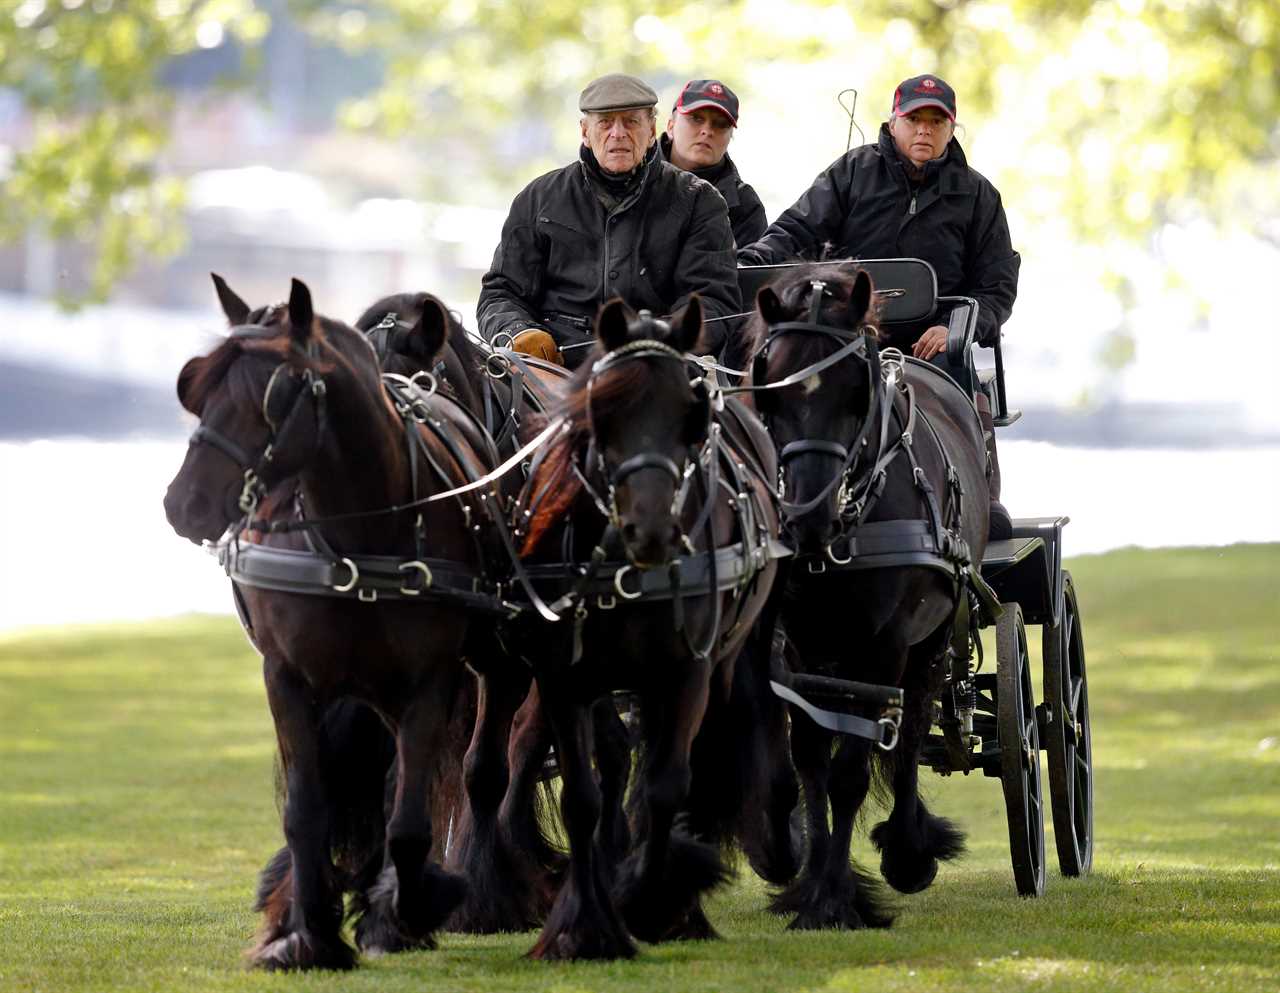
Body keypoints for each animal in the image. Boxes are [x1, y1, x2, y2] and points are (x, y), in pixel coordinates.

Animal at [160, 278, 499, 967]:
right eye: (197, 387)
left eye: (273, 395)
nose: (184, 505)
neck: (357, 536)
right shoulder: (288, 678)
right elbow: (307, 810)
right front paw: (305, 933)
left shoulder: (430, 683)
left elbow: (409, 815)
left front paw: (401, 915)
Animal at [747, 263, 983, 931]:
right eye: (768, 390)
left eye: (857, 390)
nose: (808, 515)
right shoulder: (794, 646)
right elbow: (809, 760)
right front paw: (806, 883)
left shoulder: (883, 646)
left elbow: (851, 772)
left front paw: (835, 898)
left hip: (931, 642)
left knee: (913, 731)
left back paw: (908, 852)